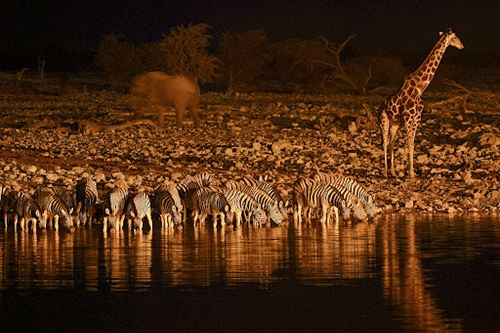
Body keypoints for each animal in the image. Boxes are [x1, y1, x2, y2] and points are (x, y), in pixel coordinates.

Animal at [378, 27, 464, 179]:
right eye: (455, 38)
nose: (462, 46)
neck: (420, 88)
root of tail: (379, 108)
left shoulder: (417, 118)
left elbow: (412, 143)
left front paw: (411, 172)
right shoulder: (408, 118)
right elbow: (409, 143)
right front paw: (411, 173)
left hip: (395, 122)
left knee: (391, 143)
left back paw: (393, 172)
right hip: (384, 120)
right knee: (384, 143)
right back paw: (385, 173)